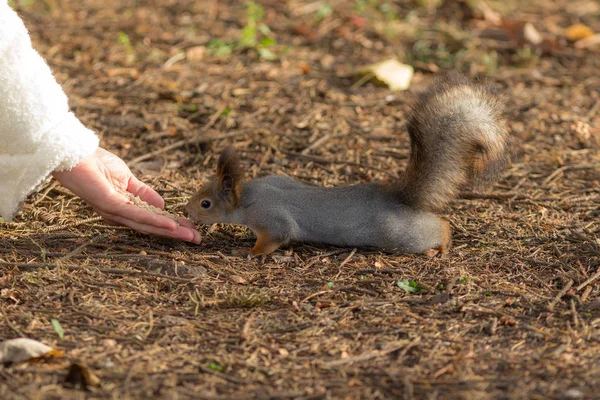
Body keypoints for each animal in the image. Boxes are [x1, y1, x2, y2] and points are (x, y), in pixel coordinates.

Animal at [183, 72, 506, 256]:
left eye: (206, 203)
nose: (186, 212)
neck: (249, 196)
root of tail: (398, 197)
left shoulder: (272, 219)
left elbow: (275, 238)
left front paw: (251, 251)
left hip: (400, 235)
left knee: (440, 227)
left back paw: (442, 245)